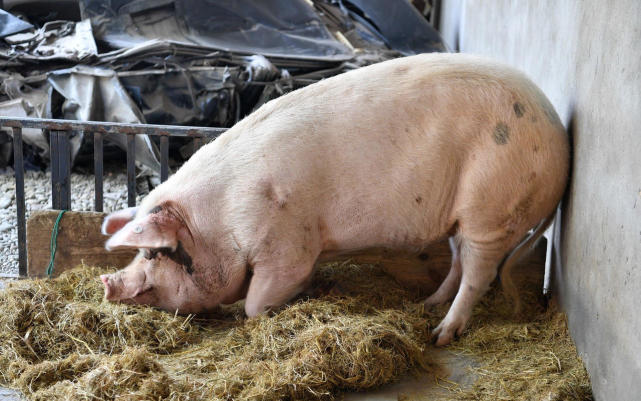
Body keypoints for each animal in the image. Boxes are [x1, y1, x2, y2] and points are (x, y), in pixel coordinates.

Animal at [99, 53, 564, 346]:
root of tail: (557, 133)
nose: (108, 283)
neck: (219, 217)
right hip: (463, 218)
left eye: (154, 253)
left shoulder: (286, 245)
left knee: (478, 274)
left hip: (492, 208)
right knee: (457, 262)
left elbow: (254, 305)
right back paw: (427, 304)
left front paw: (289, 301)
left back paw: (441, 335)